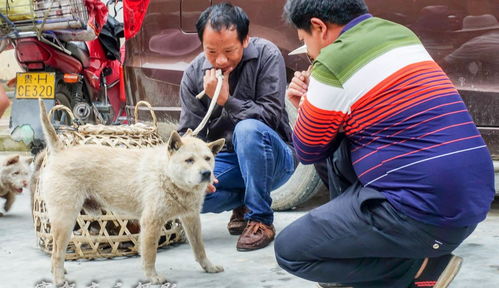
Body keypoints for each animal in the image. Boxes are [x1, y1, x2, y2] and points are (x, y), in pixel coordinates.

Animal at [38, 99, 226, 286]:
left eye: (208, 158)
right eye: (189, 160)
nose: (206, 173)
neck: (167, 175)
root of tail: (61, 152)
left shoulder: (192, 219)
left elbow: (199, 247)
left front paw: (208, 266)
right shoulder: (151, 222)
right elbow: (150, 254)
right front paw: (152, 276)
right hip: (65, 220)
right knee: (57, 253)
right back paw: (58, 279)